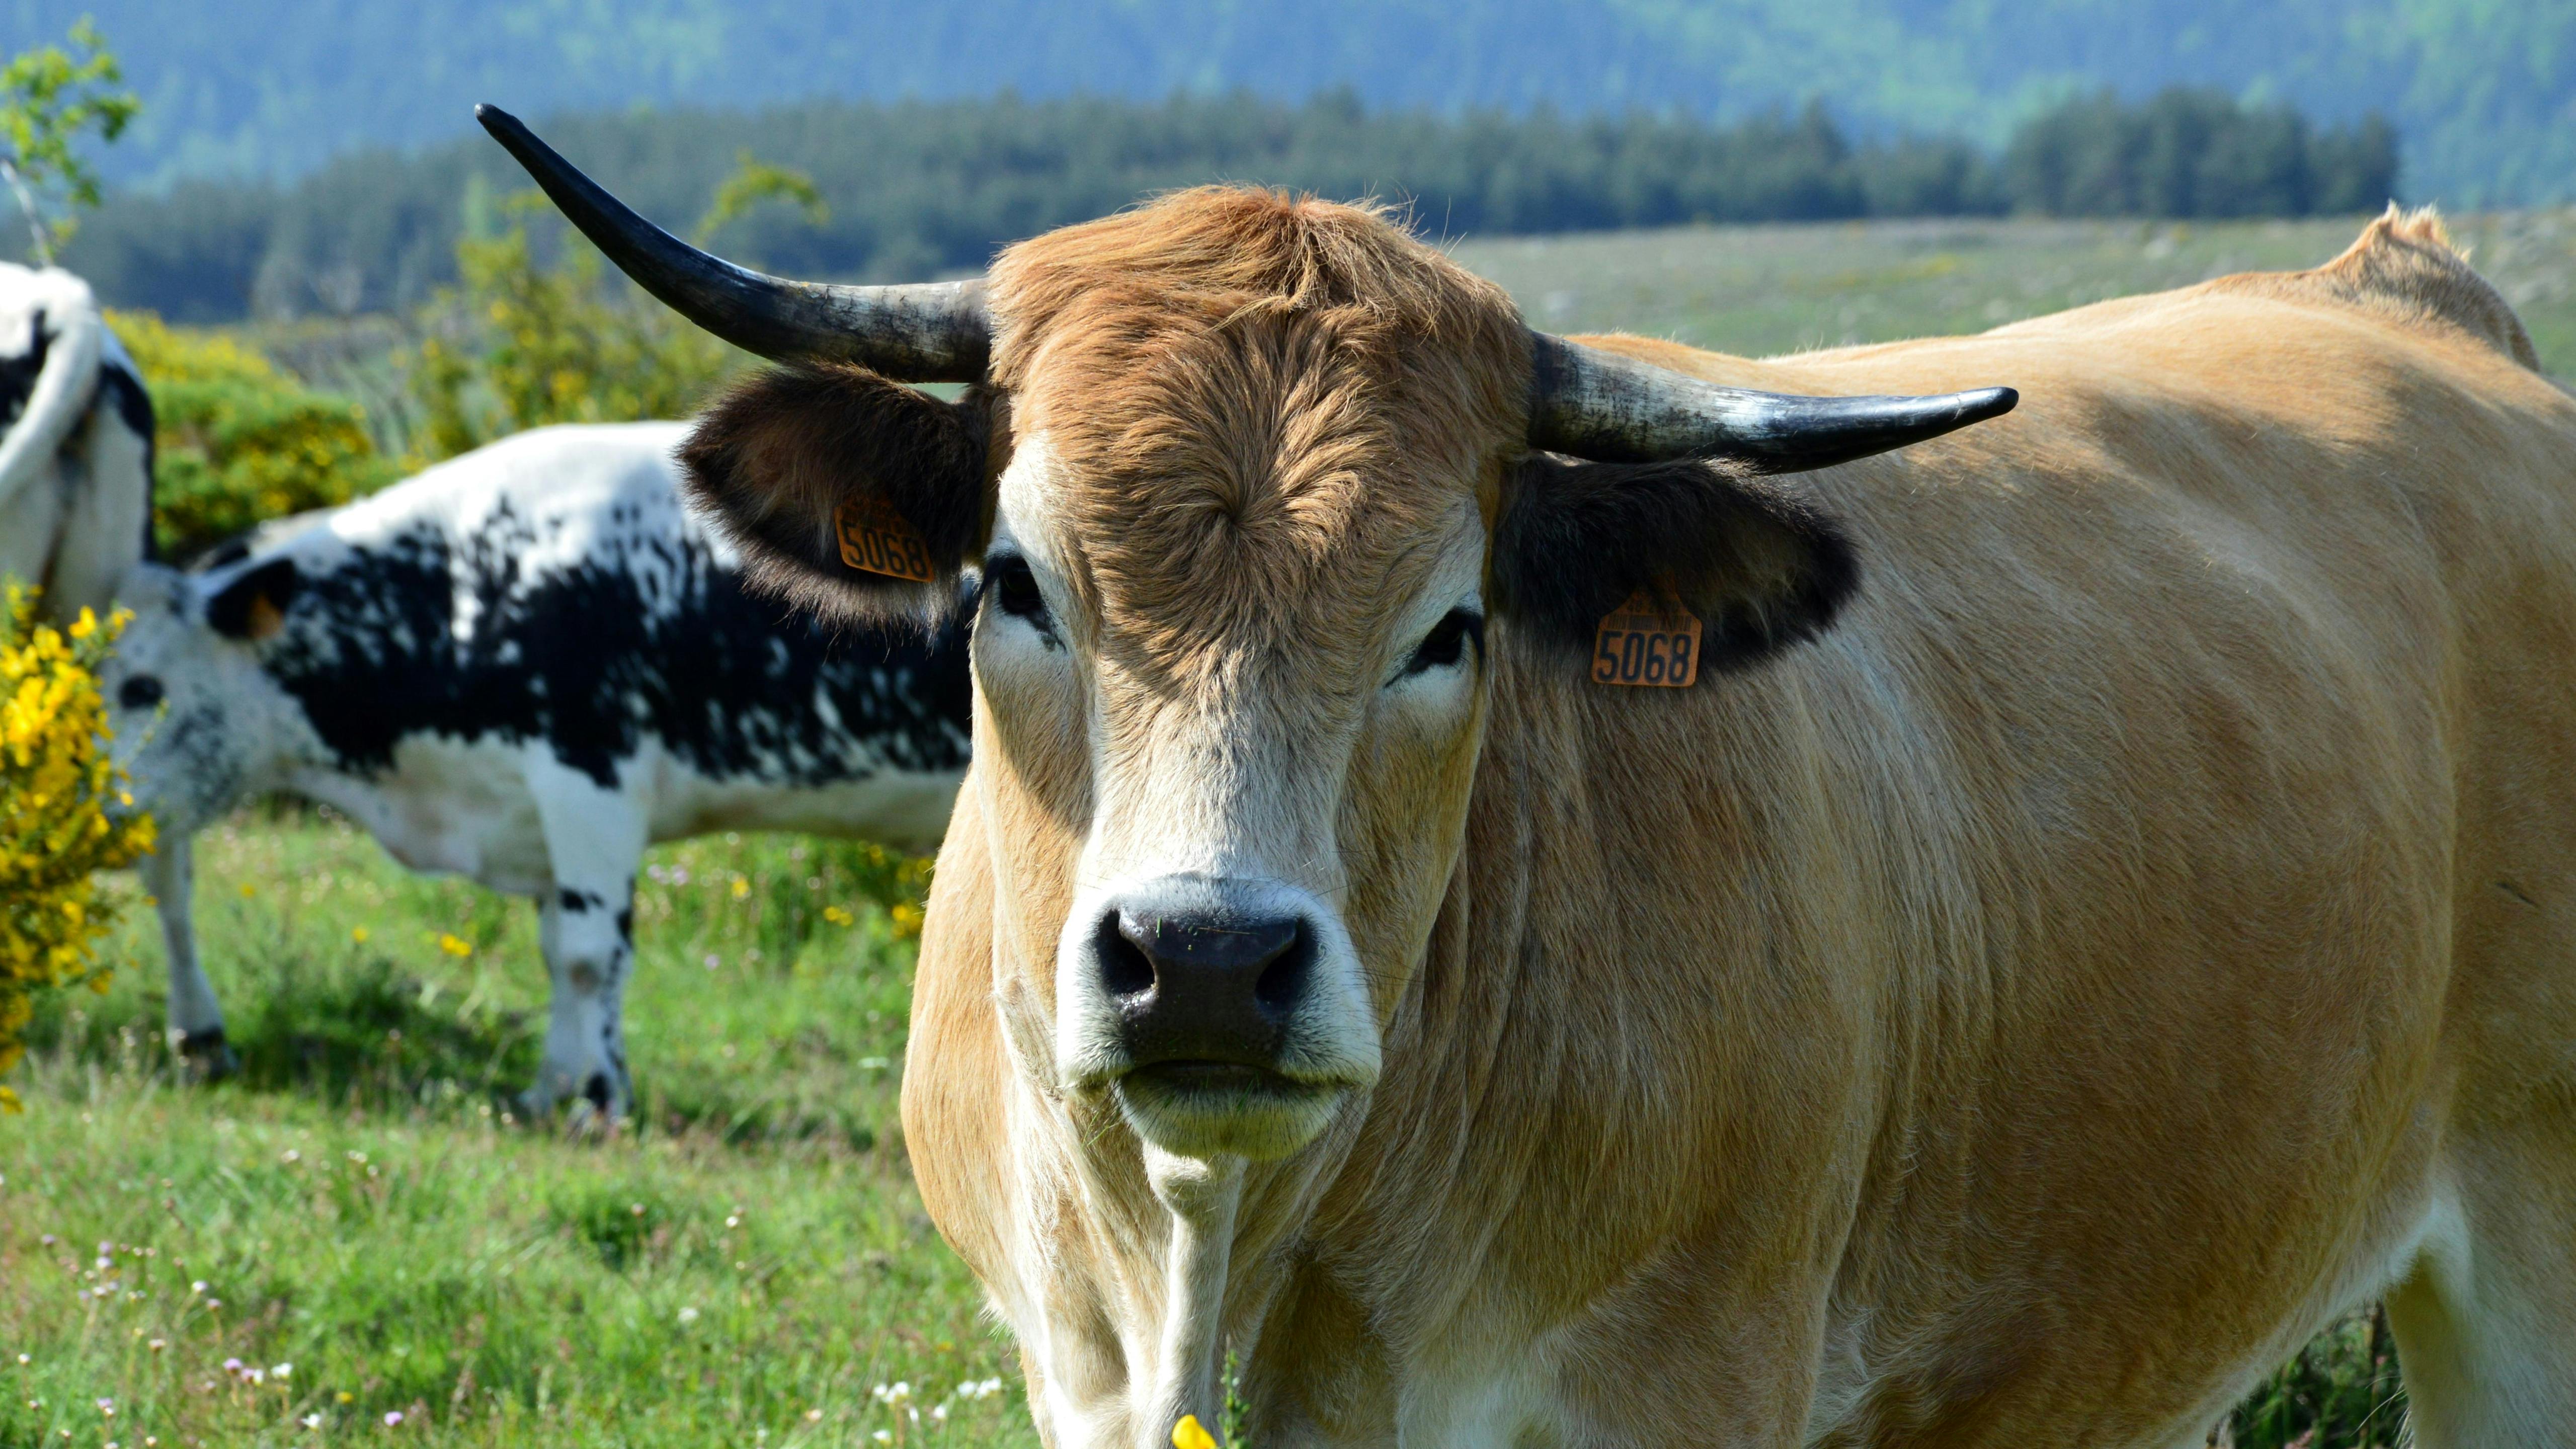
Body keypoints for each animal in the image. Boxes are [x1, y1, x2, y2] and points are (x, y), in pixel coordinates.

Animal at [104, 421, 971, 1120]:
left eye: (141, 686)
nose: (97, 808)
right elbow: (557, 952)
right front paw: (552, 1090)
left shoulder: (589, 781)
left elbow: (591, 956)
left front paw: (596, 1103)